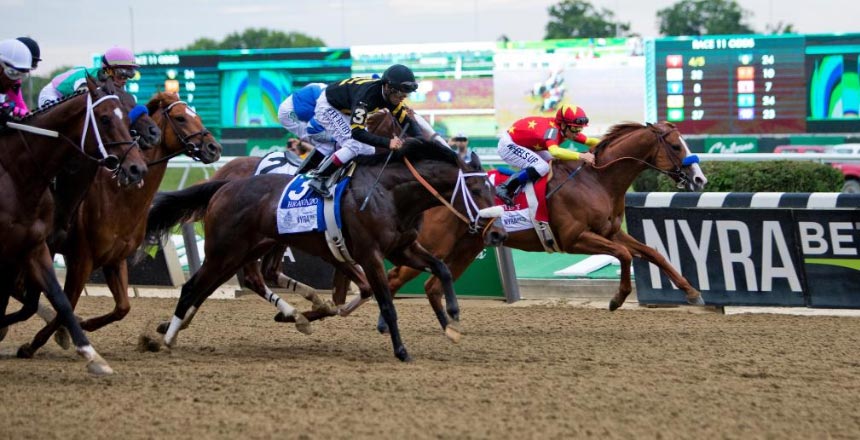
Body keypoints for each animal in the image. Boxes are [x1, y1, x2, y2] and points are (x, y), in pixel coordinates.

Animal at [0, 76, 148, 374]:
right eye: (104, 119)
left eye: (128, 115)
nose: (137, 168)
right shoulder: (77, 256)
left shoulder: (37, 247)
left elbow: (62, 301)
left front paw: (89, 350)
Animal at [16, 92, 222, 358]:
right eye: (180, 118)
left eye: (196, 115)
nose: (214, 148)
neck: (118, 195)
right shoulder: (81, 259)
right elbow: (67, 302)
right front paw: (37, 342)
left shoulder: (115, 259)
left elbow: (122, 307)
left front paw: (83, 324)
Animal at [143, 139, 504, 362]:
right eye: (475, 189)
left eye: (493, 187)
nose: (498, 231)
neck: (390, 194)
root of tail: (224, 185)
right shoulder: (369, 255)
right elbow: (386, 302)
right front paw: (401, 350)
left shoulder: (403, 248)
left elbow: (441, 268)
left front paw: (453, 319)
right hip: (225, 251)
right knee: (194, 287)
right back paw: (167, 338)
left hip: (244, 251)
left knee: (219, 286)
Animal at [382, 121, 704, 330]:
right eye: (675, 145)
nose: (700, 179)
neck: (597, 180)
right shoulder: (575, 238)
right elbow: (624, 255)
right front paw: (617, 299)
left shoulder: (611, 232)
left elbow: (653, 253)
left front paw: (691, 292)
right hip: (434, 244)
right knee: (394, 279)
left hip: (465, 249)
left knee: (431, 285)